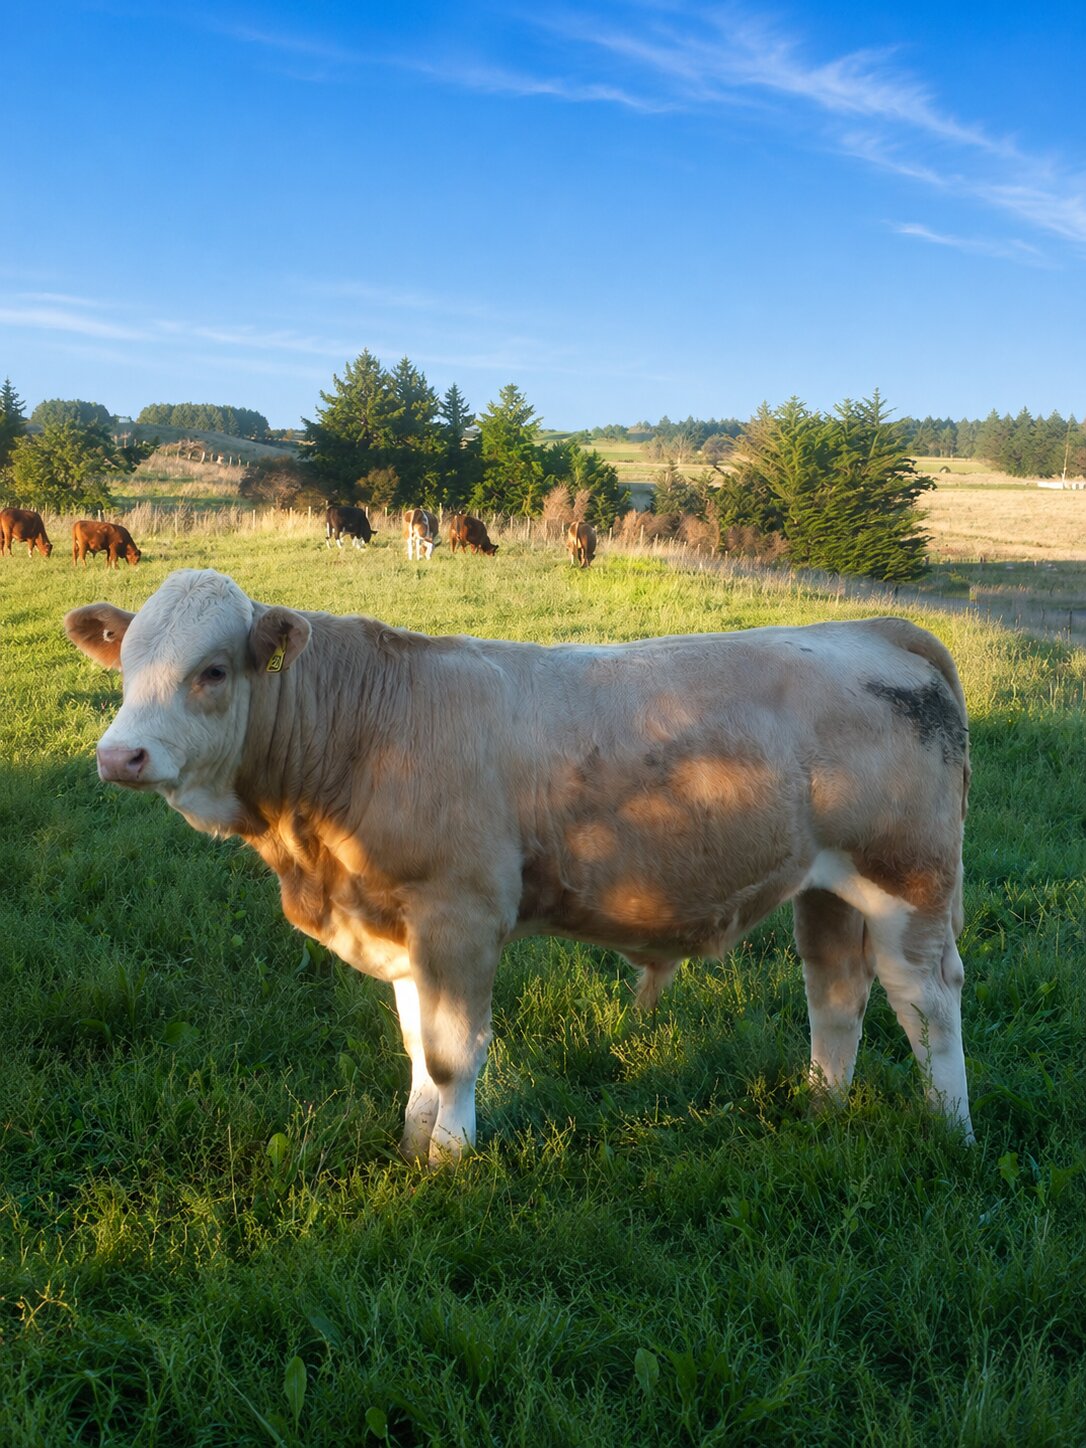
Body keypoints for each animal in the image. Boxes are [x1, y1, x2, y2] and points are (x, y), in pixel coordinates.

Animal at [65, 569, 974, 1166]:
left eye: (212, 671)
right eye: (125, 665)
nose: (119, 755)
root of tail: (872, 628)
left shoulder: (460, 914)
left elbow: (452, 1051)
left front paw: (450, 1158)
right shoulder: (399, 918)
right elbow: (414, 1039)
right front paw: (414, 1137)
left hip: (908, 875)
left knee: (926, 1000)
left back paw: (949, 1127)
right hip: (827, 886)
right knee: (836, 991)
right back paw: (822, 1105)